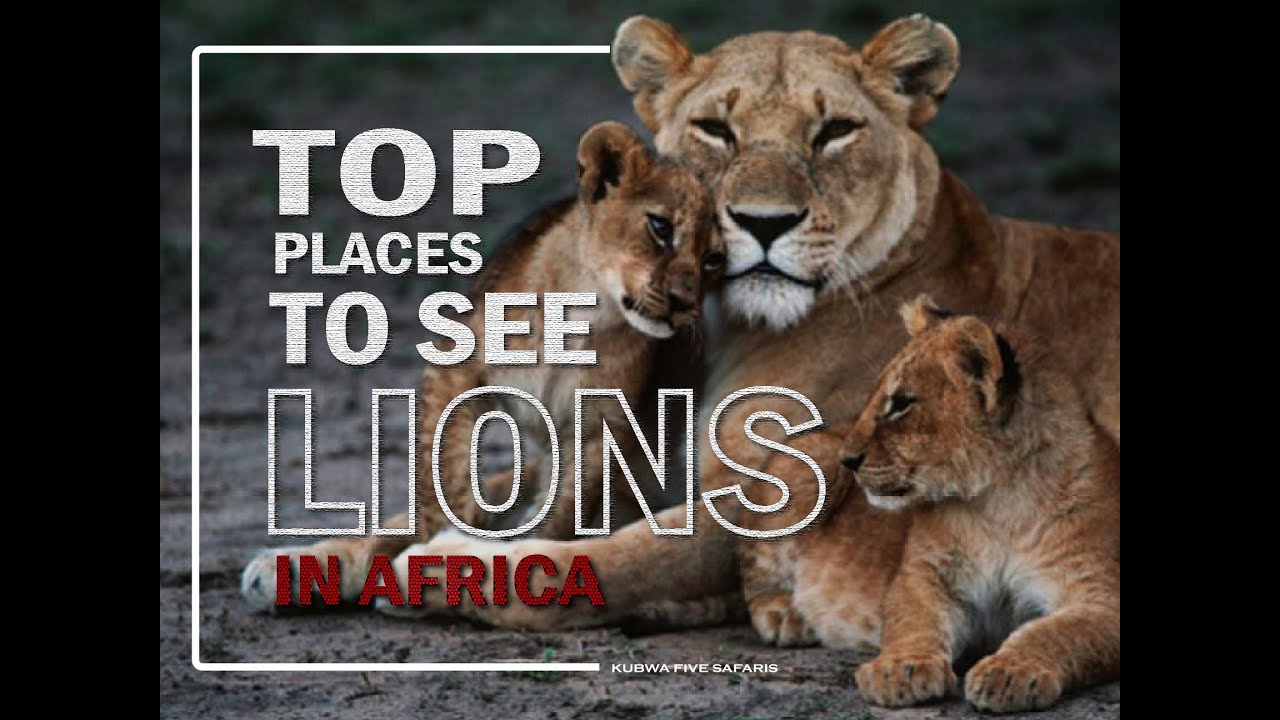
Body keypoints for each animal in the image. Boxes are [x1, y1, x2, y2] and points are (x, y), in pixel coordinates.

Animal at [241, 121, 725, 610]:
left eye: (714, 259)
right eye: (660, 227)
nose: (684, 304)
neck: (586, 316)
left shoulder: (598, 426)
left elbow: (558, 511)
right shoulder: (452, 372)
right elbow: (442, 480)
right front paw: (440, 546)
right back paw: (284, 569)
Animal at [844, 296, 1120, 712]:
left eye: (901, 404)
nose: (846, 459)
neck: (998, 502)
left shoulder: (1101, 596)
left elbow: (1054, 632)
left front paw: (1009, 673)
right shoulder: (926, 575)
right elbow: (913, 619)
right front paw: (900, 669)